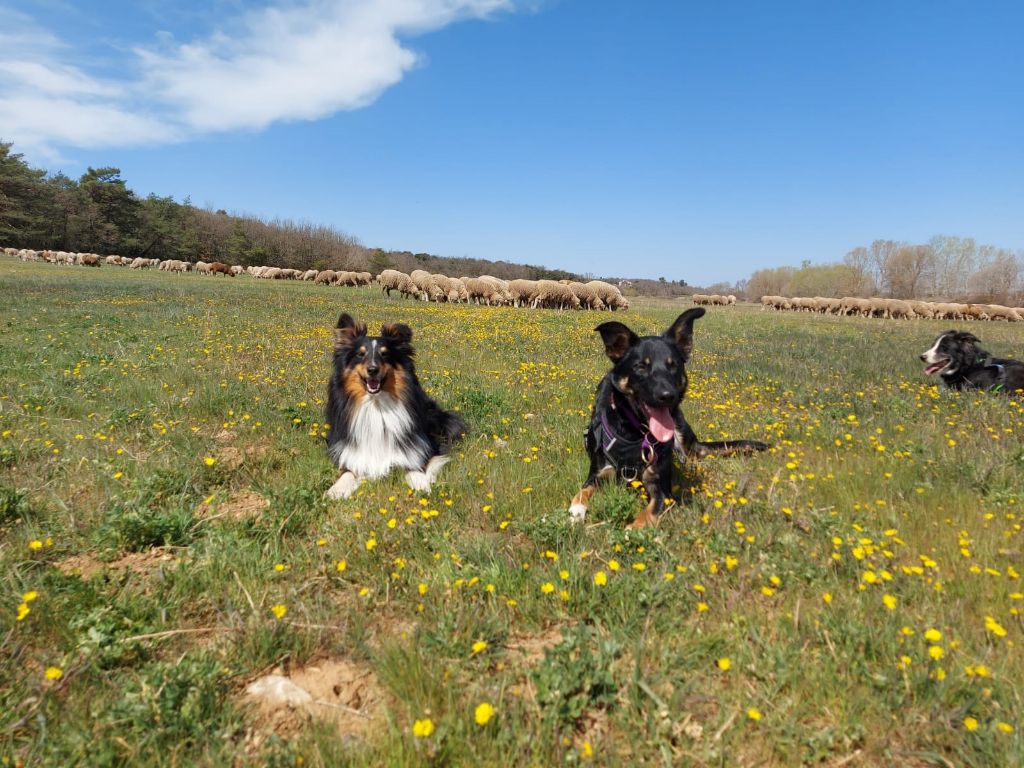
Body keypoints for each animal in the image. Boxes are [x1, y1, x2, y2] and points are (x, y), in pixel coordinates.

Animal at [573, 309, 765, 528]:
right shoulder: (598, 473)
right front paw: (576, 511)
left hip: (682, 435)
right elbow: (582, 491)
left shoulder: (662, 490)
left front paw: (631, 529)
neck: (635, 432)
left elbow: (647, 513)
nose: (668, 395)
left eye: (673, 366)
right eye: (641, 367)